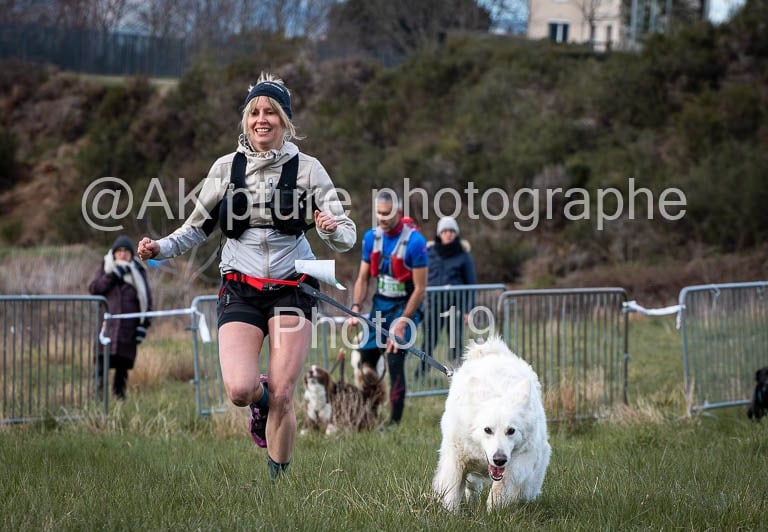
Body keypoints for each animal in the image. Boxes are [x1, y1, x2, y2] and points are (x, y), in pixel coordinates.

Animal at [432, 335, 551, 512]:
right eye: (487, 430)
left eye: (511, 431)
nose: (499, 459)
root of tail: (492, 351)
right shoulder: (455, 458)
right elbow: (451, 491)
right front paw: (450, 513)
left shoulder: (521, 458)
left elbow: (501, 486)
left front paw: (494, 511)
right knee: (472, 486)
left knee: (527, 489)